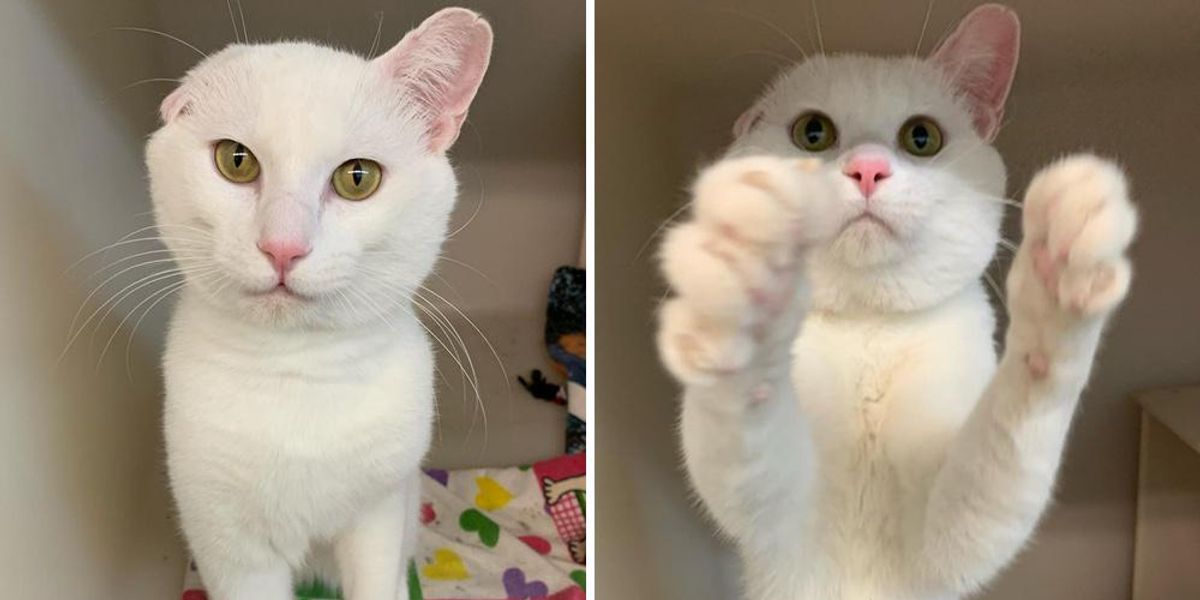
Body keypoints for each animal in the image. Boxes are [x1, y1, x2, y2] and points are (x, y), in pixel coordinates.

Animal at [146, 9, 492, 600]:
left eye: (358, 177)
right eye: (235, 160)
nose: (283, 246)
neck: (299, 373)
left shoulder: (378, 517)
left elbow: (375, 579)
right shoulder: (231, 546)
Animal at [657, 5, 1132, 600]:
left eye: (921, 137)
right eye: (813, 133)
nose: (866, 167)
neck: (872, 327)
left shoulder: (950, 535)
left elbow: (1008, 435)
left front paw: (1062, 266)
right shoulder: (782, 516)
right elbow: (746, 438)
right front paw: (745, 272)